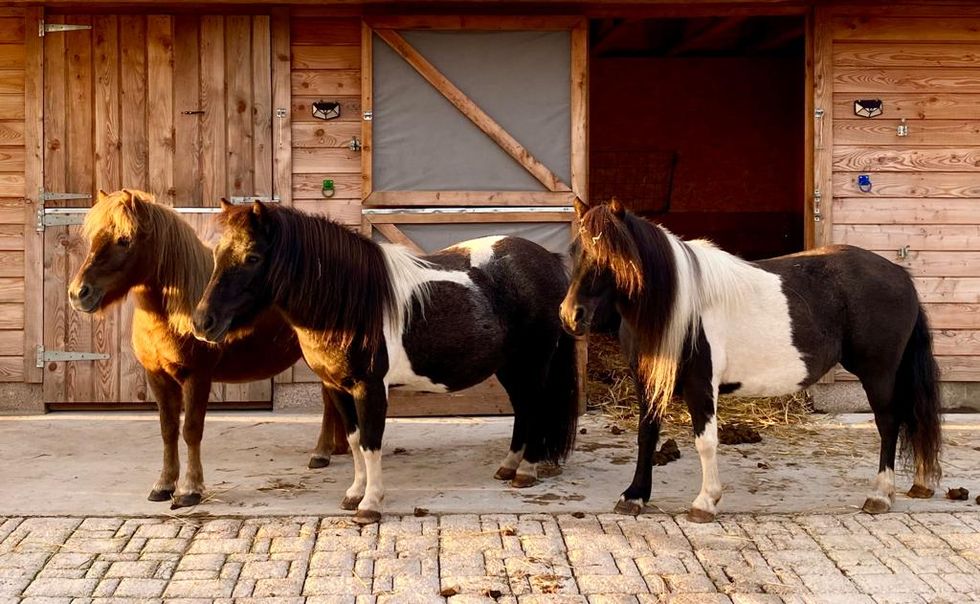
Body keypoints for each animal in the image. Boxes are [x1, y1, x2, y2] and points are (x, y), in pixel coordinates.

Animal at [68, 189, 340, 508]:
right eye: (94, 237)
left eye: (124, 239)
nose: (78, 293)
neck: (175, 313)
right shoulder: (157, 377)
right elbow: (168, 429)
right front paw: (163, 485)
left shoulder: (196, 377)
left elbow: (191, 430)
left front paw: (190, 489)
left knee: (329, 398)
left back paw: (322, 453)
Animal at [191, 200, 579, 523]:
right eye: (218, 253)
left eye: (253, 257)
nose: (203, 322)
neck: (352, 304)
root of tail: (548, 260)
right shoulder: (338, 388)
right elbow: (352, 440)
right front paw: (354, 494)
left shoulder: (370, 388)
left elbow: (371, 442)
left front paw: (370, 505)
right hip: (510, 366)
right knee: (525, 409)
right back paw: (508, 467)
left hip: (534, 362)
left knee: (538, 407)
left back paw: (526, 472)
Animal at [560, 198, 942, 522]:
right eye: (576, 251)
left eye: (613, 257)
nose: (571, 316)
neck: (678, 306)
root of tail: (900, 275)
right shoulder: (649, 380)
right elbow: (646, 434)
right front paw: (635, 496)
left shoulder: (701, 384)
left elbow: (706, 441)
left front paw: (705, 502)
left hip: (878, 373)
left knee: (889, 423)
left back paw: (880, 495)